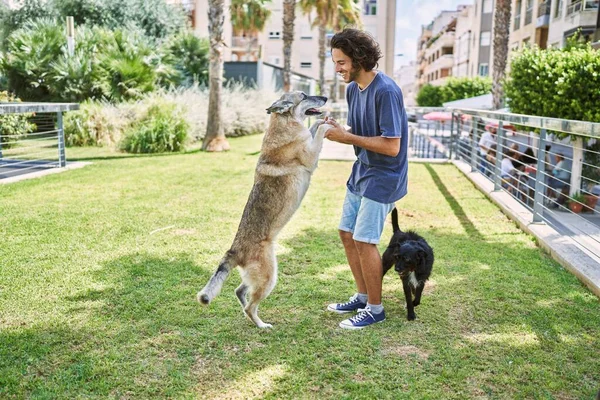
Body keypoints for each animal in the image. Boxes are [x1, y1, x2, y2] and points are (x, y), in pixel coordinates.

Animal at [198, 91, 332, 328]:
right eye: (304, 95)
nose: (325, 97)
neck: (284, 125)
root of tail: (234, 250)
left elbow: (313, 128)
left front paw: (320, 121)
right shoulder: (310, 155)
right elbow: (318, 133)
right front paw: (326, 123)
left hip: (257, 278)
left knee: (240, 292)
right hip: (270, 276)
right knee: (251, 306)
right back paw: (262, 325)